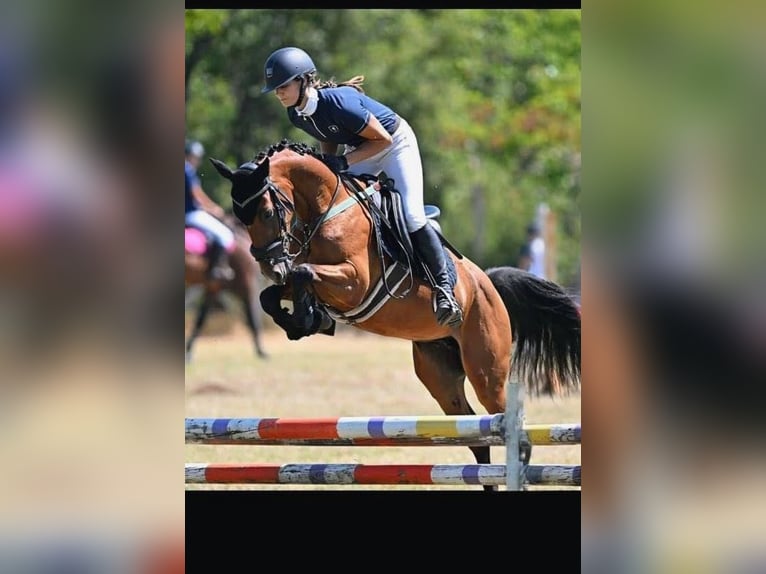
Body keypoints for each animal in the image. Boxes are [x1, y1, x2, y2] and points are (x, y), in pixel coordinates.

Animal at [185, 213, 269, 363]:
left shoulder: (213, 288)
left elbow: (200, 320)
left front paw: (188, 353)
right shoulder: (247, 285)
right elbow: (253, 319)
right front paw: (261, 351)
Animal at [210, 140, 581, 491]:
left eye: (267, 212)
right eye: (240, 218)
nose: (270, 268)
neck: (326, 210)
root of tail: (488, 284)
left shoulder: (354, 281)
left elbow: (302, 273)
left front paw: (305, 316)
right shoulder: (308, 277)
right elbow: (271, 294)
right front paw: (304, 321)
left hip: (486, 370)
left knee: (504, 423)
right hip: (440, 376)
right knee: (475, 435)